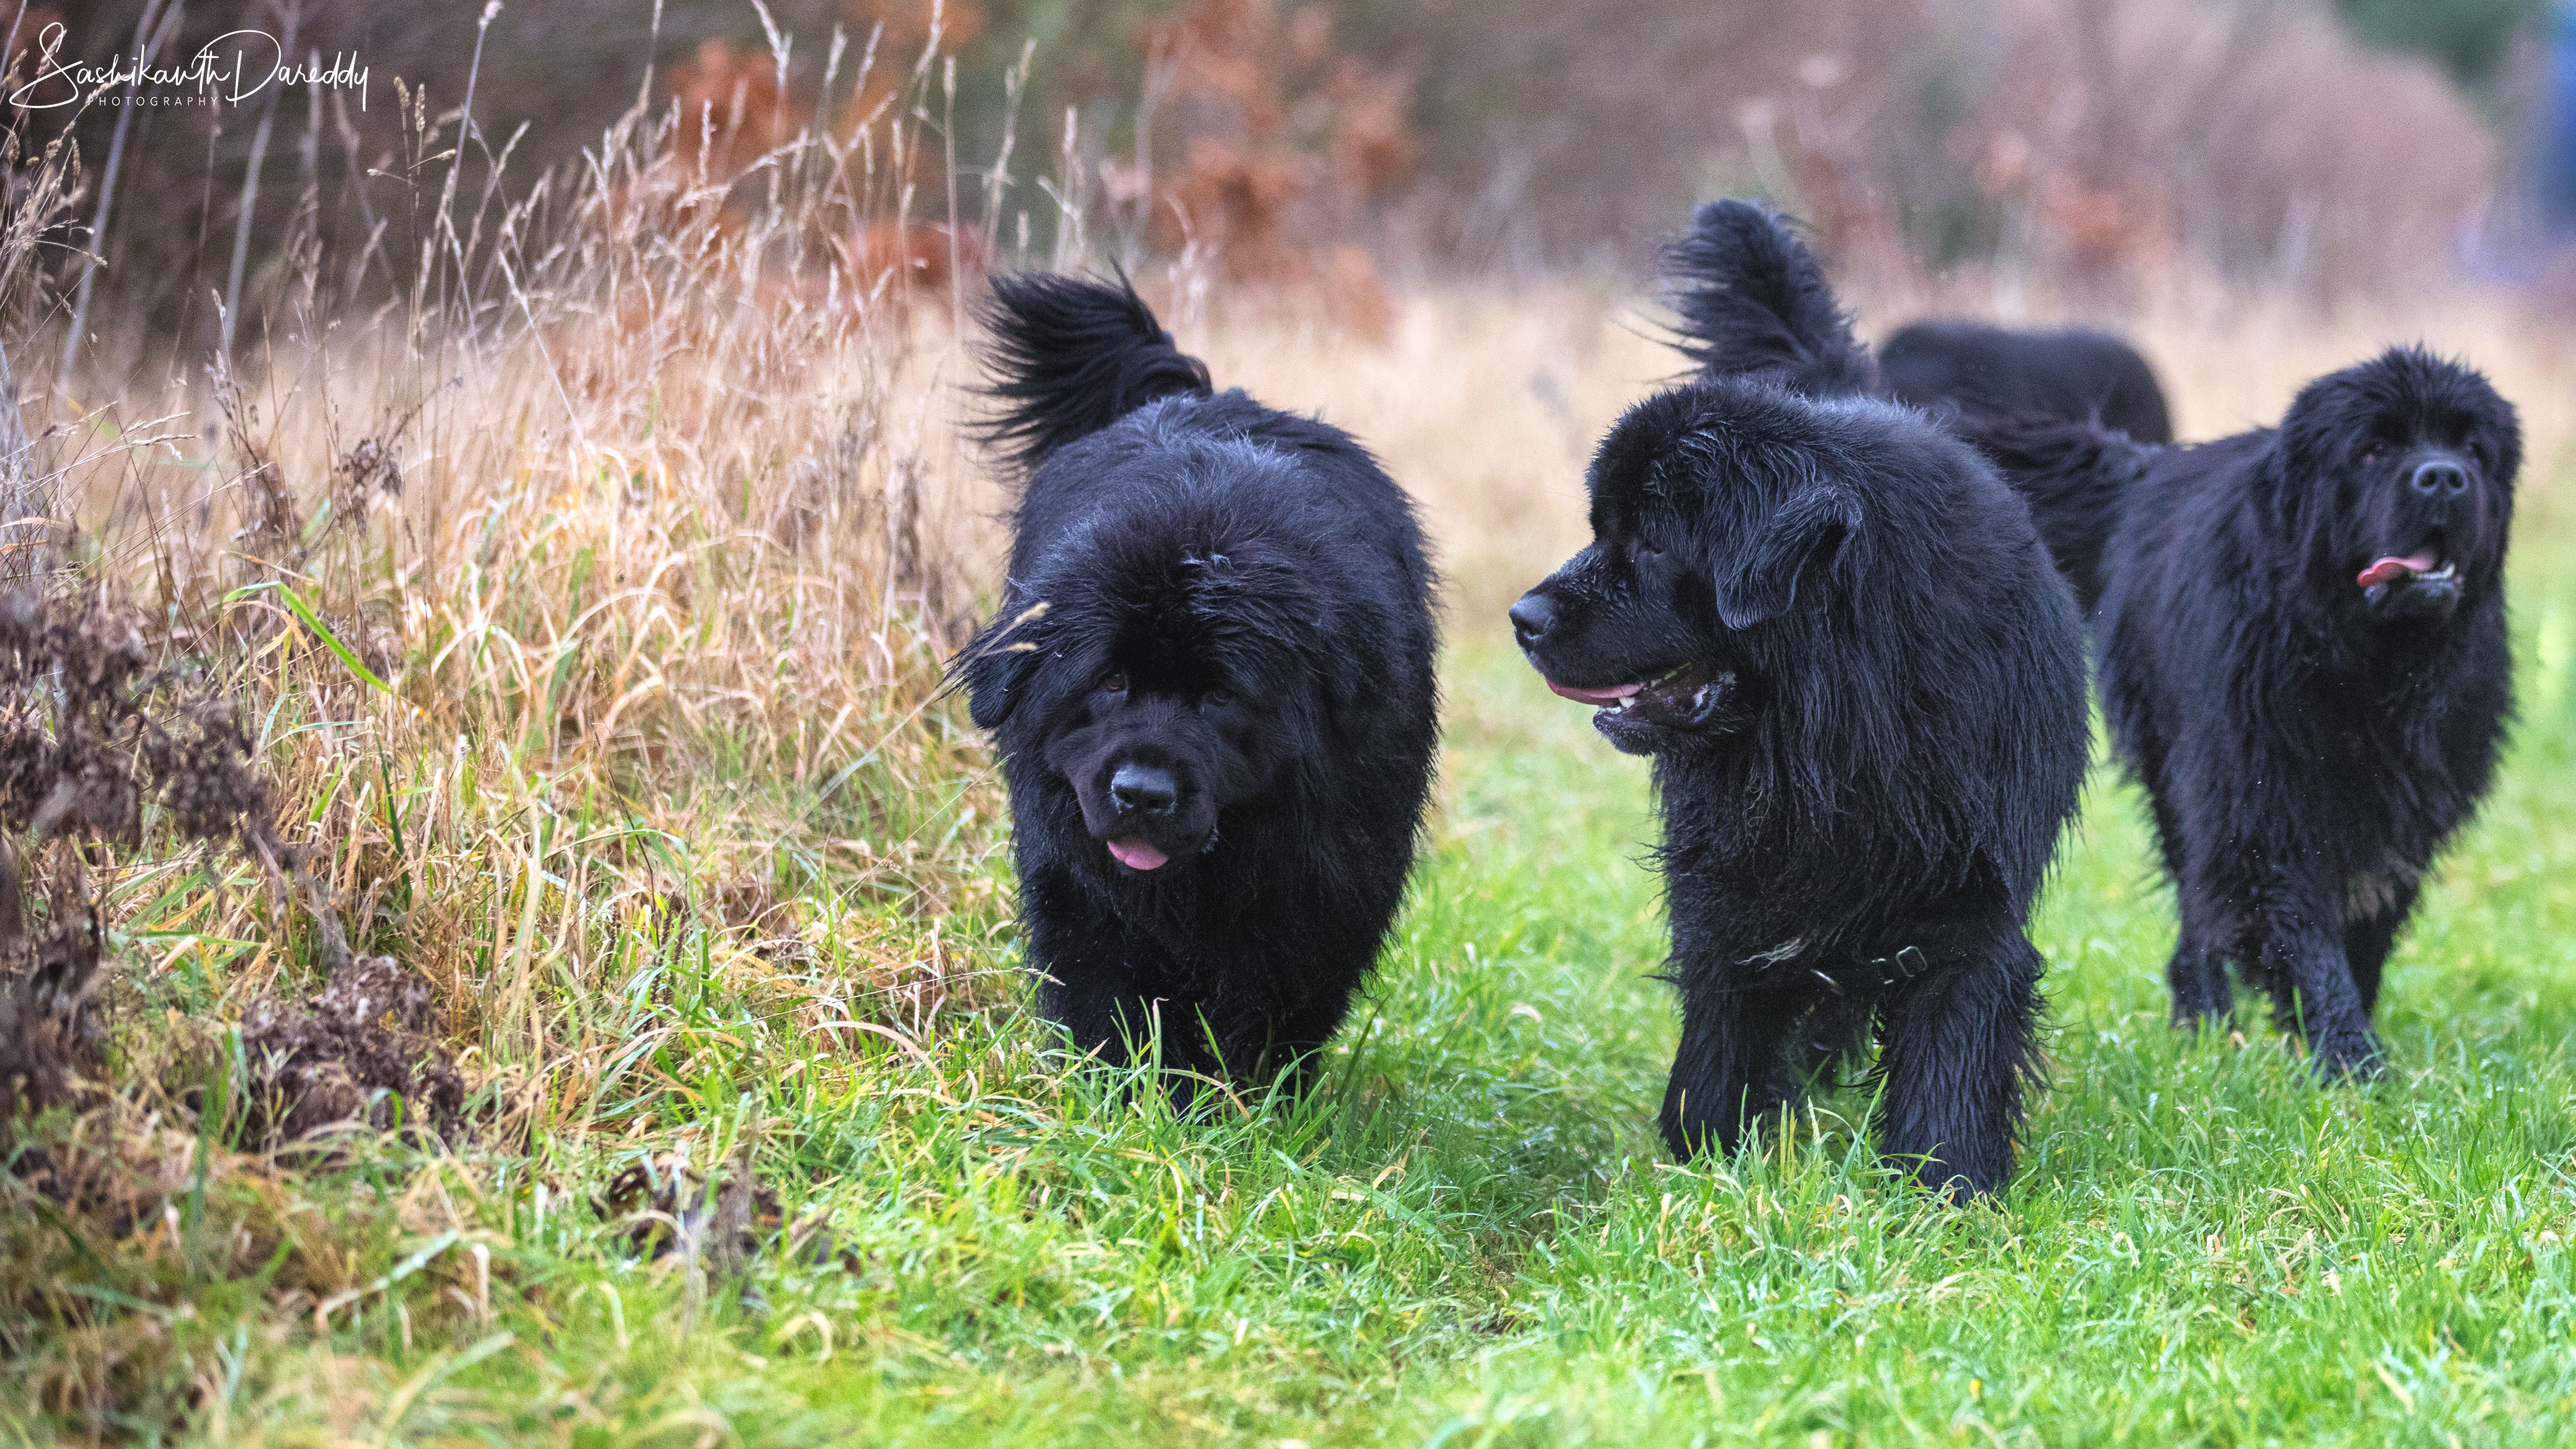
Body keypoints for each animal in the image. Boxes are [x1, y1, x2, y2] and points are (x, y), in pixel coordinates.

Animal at [953, 272, 1443, 1101]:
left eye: (1220, 698)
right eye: (1110, 680)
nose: (1143, 792)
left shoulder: (1328, 881)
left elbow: (1276, 1000)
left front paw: (1244, 1100)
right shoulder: (1075, 881)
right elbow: (1107, 987)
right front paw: (1132, 1094)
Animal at [1504, 205, 2091, 1204]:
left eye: (1652, 543)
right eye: (1598, 530)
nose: (1523, 617)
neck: (1832, 723)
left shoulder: (1969, 901)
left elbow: (1953, 1051)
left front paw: (1946, 1189)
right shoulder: (1728, 887)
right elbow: (1721, 1033)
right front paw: (1710, 1157)